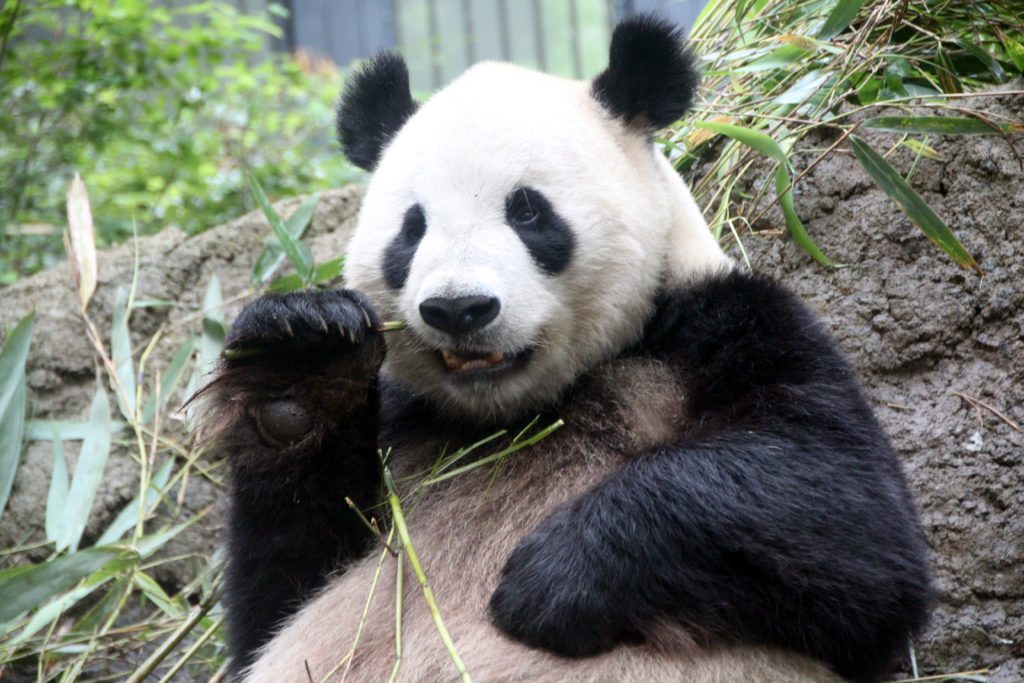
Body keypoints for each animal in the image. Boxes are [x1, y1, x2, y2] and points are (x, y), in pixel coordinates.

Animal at [201, 15, 937, 683]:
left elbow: (849, 519)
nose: (459, 308)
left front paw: (550, 579)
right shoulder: (401, 427)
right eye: (412, 229)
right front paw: (300, 364)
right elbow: (277, 598)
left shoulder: (723, 324)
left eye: (527, 211)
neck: (515, 413)